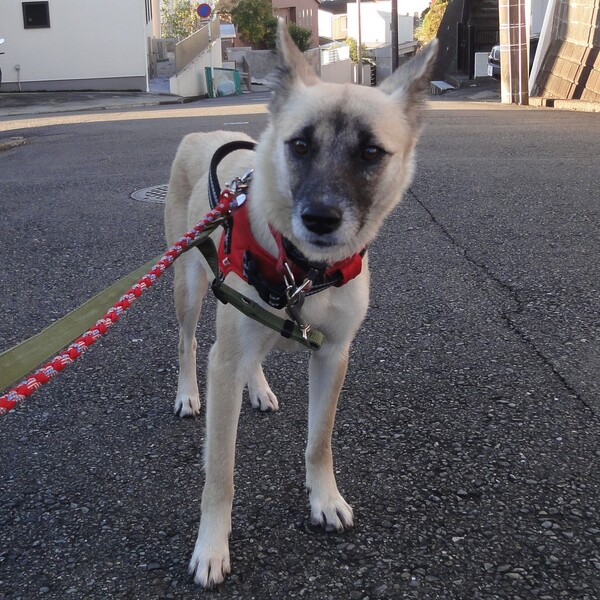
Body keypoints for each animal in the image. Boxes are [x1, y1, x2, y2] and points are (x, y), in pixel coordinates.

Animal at [164, 21, 438, 587]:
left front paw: (324, 500)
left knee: (254, 353)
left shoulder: (332, 355)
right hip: (190, 288)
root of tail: (202, 132)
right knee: (186, 342)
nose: (319, 218)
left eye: (371, 153)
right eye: (300, 145)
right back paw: (187, 394)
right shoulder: (223, 362)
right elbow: (220, 472)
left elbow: (319, 440)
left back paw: (260, 389)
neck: (304, 270)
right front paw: (211, 546)